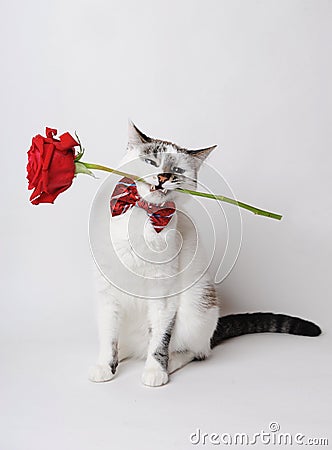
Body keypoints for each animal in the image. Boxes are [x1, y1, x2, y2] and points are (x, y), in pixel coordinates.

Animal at [89, 122, 322, 386]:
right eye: (151, 162)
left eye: (177, 170)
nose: (163, 177)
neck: (143, 216)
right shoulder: (107, 295)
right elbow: (109, 337)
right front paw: (105, 366)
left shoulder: (164, 295)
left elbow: (160, 340)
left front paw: (156, 371)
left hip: (196, 306)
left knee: (195, 351)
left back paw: (170, 363)